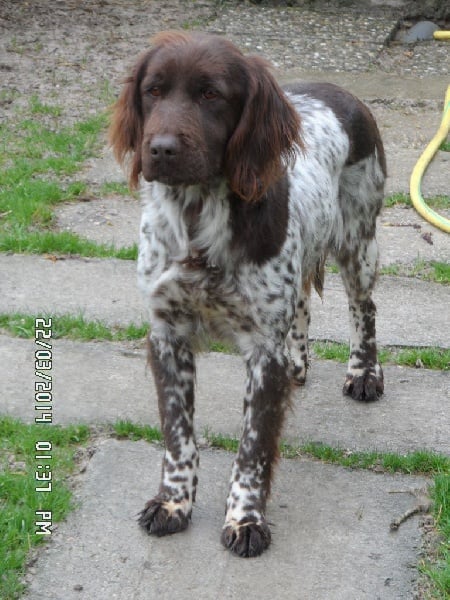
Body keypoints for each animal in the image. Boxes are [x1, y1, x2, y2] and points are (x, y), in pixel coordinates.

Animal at [109, 31, 385, 557]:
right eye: (153, 91)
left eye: (211, 94)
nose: (161, 149)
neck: (197, 218)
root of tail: (341, 91)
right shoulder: (166, 334)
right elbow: (178, 435)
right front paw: (173, 502)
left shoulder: (262, 350)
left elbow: (253, 447)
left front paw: (245, 518)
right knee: (302, 303)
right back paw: (299, 362)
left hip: (358, 240)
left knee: (364, 307)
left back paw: (364, 373)